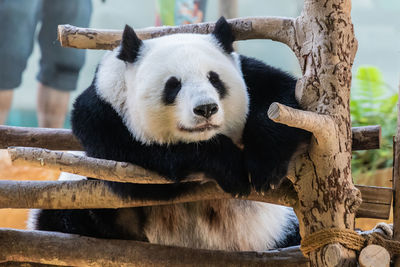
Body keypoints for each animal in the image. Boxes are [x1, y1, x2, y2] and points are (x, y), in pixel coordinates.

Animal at [28, 17, 310, 252]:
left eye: (215, 79)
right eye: (173, 85)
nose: (206, 108)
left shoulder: (250, 75)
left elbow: (281, 97)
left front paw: (265, 165)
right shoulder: (102, 115)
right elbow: (139, 166)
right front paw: (226, 165)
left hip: (278, 228)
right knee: (68, 218)